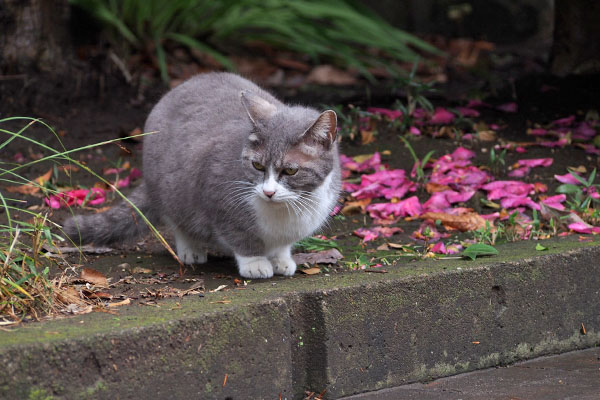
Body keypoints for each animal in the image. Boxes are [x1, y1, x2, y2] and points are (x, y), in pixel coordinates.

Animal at [64, 72, 342, 278]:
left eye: (290, 170)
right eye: (257, 166)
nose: (268, 191)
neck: (286, 209)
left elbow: (282, 245)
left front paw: (281, 259)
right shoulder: (220, 199)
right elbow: (241, 236)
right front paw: (255, 263)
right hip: (172, 189)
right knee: (178, 220)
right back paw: (191, 249)